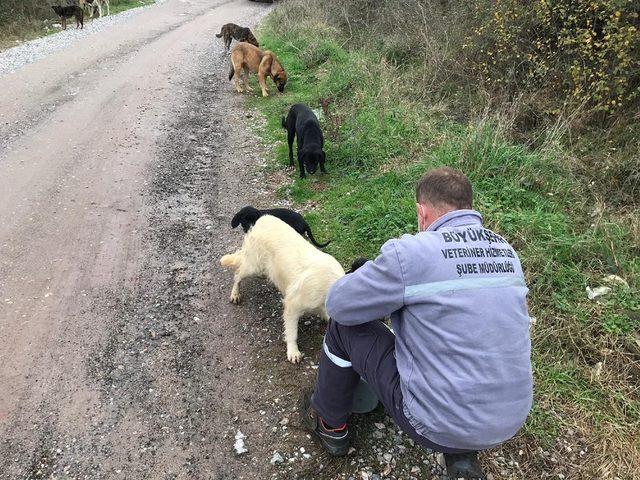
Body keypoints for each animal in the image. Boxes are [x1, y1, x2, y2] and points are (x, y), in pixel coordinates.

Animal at [219, 216, 342, 362]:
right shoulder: (292, 306)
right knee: (237, 274)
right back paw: (235, 294)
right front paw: (293, 351)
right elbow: (292, 333)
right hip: (253, 266)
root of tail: (262, 218)